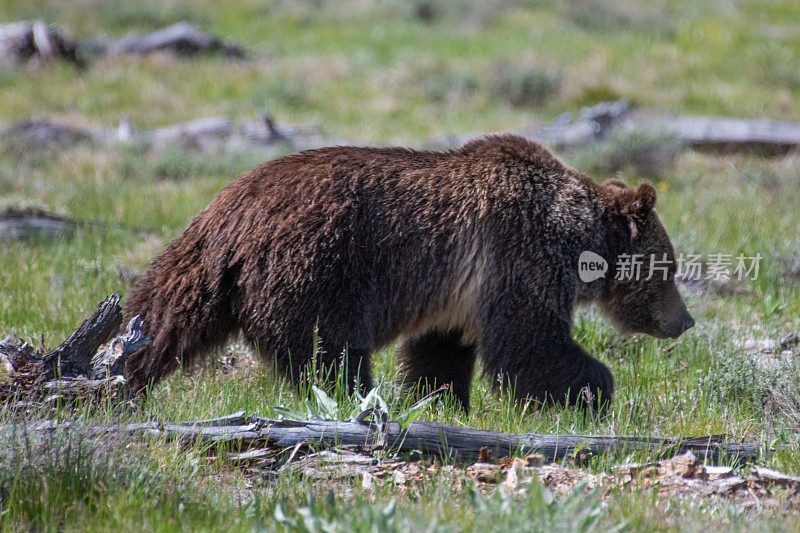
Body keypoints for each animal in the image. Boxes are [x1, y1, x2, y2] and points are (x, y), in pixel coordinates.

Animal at [125, 135, 692, 410]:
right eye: (669, 267)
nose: (684, 320)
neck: (579, 240)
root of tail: (230, 205)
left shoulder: (456, 296)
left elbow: (441, 353)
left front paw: (444, 403)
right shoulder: (521, 251)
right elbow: (528, 340)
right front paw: (594, 392)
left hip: (212, 274)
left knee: (165, 317)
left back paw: (121, 378)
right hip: (319, 267)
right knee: (329, 351)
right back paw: (356, 400)